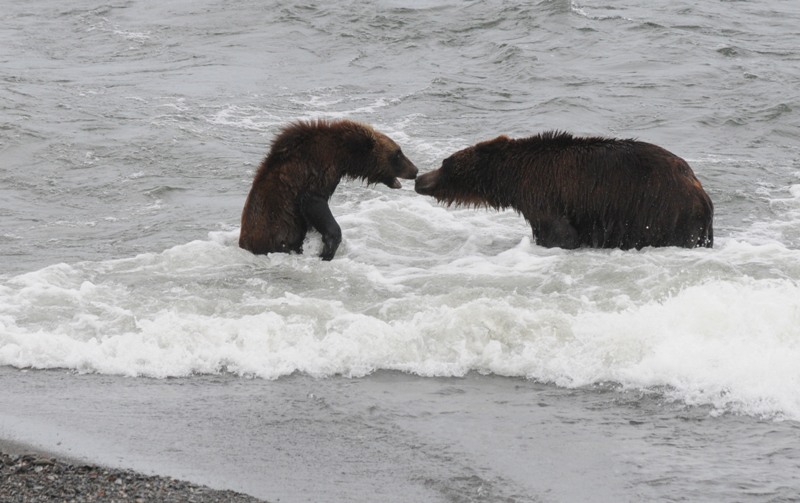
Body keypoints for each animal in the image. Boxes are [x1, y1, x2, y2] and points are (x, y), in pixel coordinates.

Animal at [239, 118, 418, 260]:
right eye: (398, 154)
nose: (415, 170)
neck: (341, 157)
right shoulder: (313, 174)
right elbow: (314, 204)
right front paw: (327, 249)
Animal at [416, 131, 716, 251]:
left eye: (445, 163)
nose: (420, 179)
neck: (514, 177)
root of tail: (701, 192)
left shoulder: (545, 196)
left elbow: (559, 233)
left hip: (666, 214)